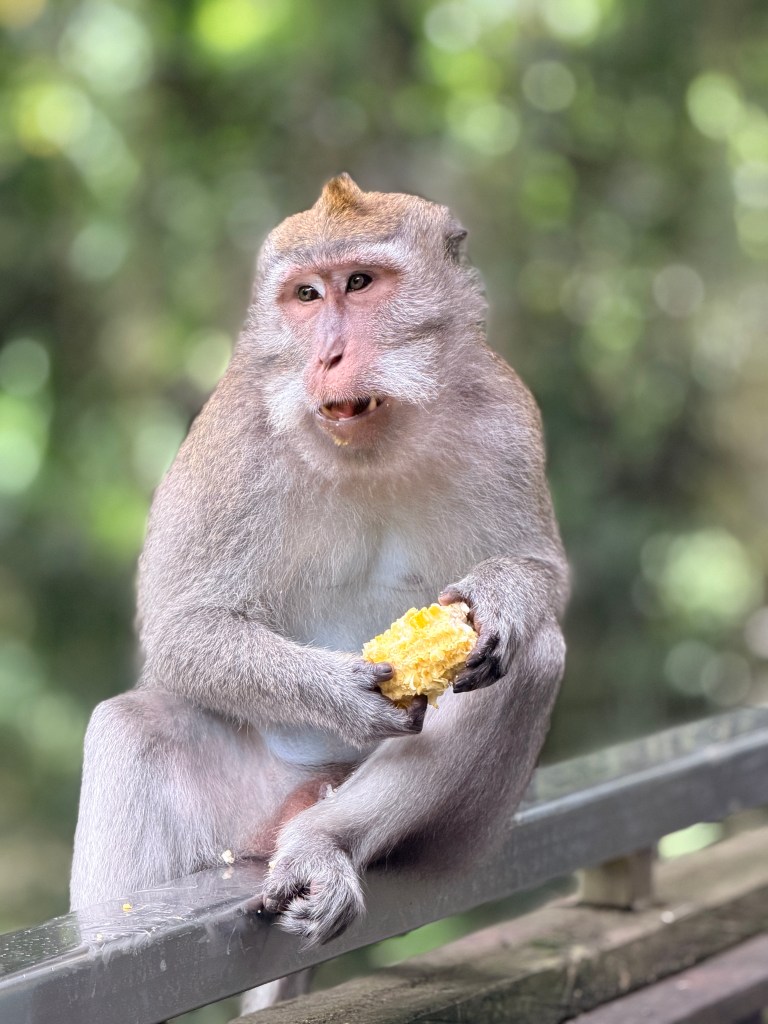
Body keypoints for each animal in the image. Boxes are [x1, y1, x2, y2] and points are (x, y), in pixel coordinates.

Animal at [70, 173, 568, 1011]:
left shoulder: (504, 413)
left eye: (360, 283)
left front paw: (499, 596)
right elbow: (183, 628)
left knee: (532, 660)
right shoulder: (234, 439)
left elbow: (542, 576)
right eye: (306, 295)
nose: (329, 355)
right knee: (132, 727)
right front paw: (342, 694)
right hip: (244, 807)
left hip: (456, 841)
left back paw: (320, 844)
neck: (369, 441)